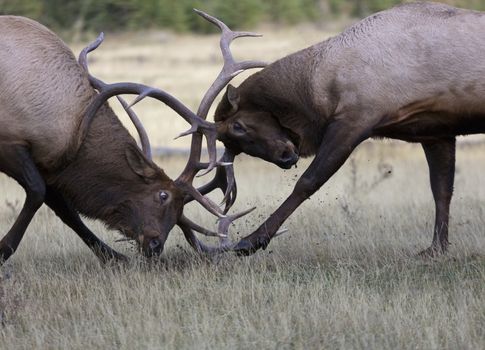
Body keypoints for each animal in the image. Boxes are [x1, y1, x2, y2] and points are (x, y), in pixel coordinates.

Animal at [0, 10, 260, 262]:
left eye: (179, 211)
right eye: (162, 195)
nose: (155, 245)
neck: (73, 131)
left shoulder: (48, 165)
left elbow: (65, 210)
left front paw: (115, 258)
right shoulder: (11, 142)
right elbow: (37, 192)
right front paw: (3, 251)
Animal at [214, 2, 484, 258]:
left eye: (237, 126)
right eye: (233, 144)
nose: (285, 157)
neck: (317, 91)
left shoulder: (355, 120)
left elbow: (308, 182)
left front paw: (252, 240)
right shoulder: (436, 132)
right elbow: (442, 190)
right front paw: (437, 248)